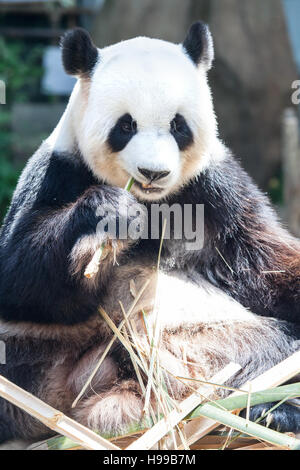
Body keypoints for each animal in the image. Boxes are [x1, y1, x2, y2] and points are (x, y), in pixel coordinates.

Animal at [0, 22, 300, 442]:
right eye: (126, 125)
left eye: (178, 125)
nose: (153, 173)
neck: (154, 203)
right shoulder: (57, 173)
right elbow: (20, 279)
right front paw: (110, 213)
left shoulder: (216, 190)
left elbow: (265, 265)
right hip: (35, 351)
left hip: (215, 342)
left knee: (269, 352)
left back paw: (273, 413)